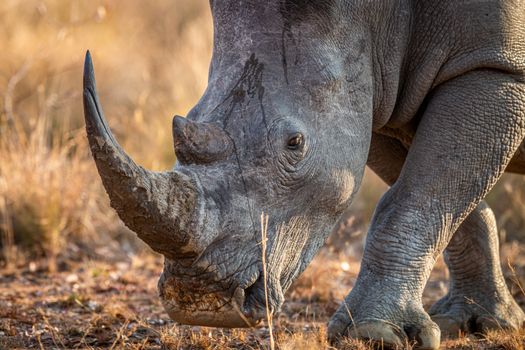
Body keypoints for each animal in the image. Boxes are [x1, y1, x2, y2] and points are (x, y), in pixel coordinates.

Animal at [82, 1, 524, 348]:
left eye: (294, 143)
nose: (200, 303)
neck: (375, 14)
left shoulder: (497, 69)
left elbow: (416, 198)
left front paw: (374, 336)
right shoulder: (379, 91)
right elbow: (445, 199)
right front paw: (477, 322)